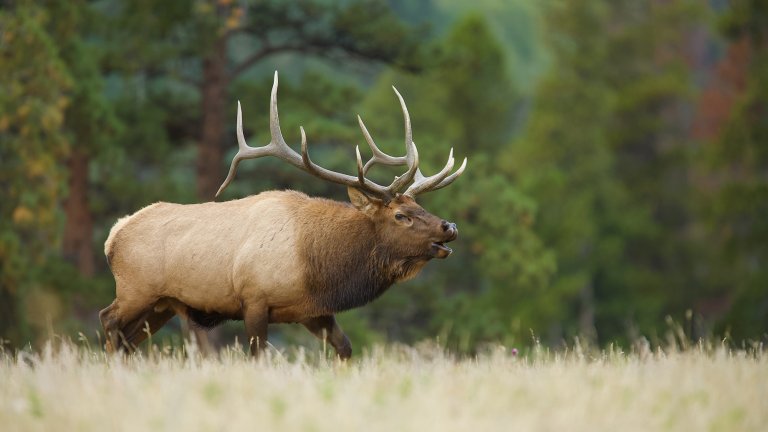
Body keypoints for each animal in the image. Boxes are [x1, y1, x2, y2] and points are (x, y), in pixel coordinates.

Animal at [100, 72, 466, 359]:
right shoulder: (253, 299)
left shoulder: (312, 311)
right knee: (108, 320)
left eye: (419, 208)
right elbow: (258, 356)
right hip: (136, 289)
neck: (318, 266)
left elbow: (345, 348)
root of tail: (113, 235)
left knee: (127, 341)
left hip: (160, 305)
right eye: (401, 215)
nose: (449, 226)